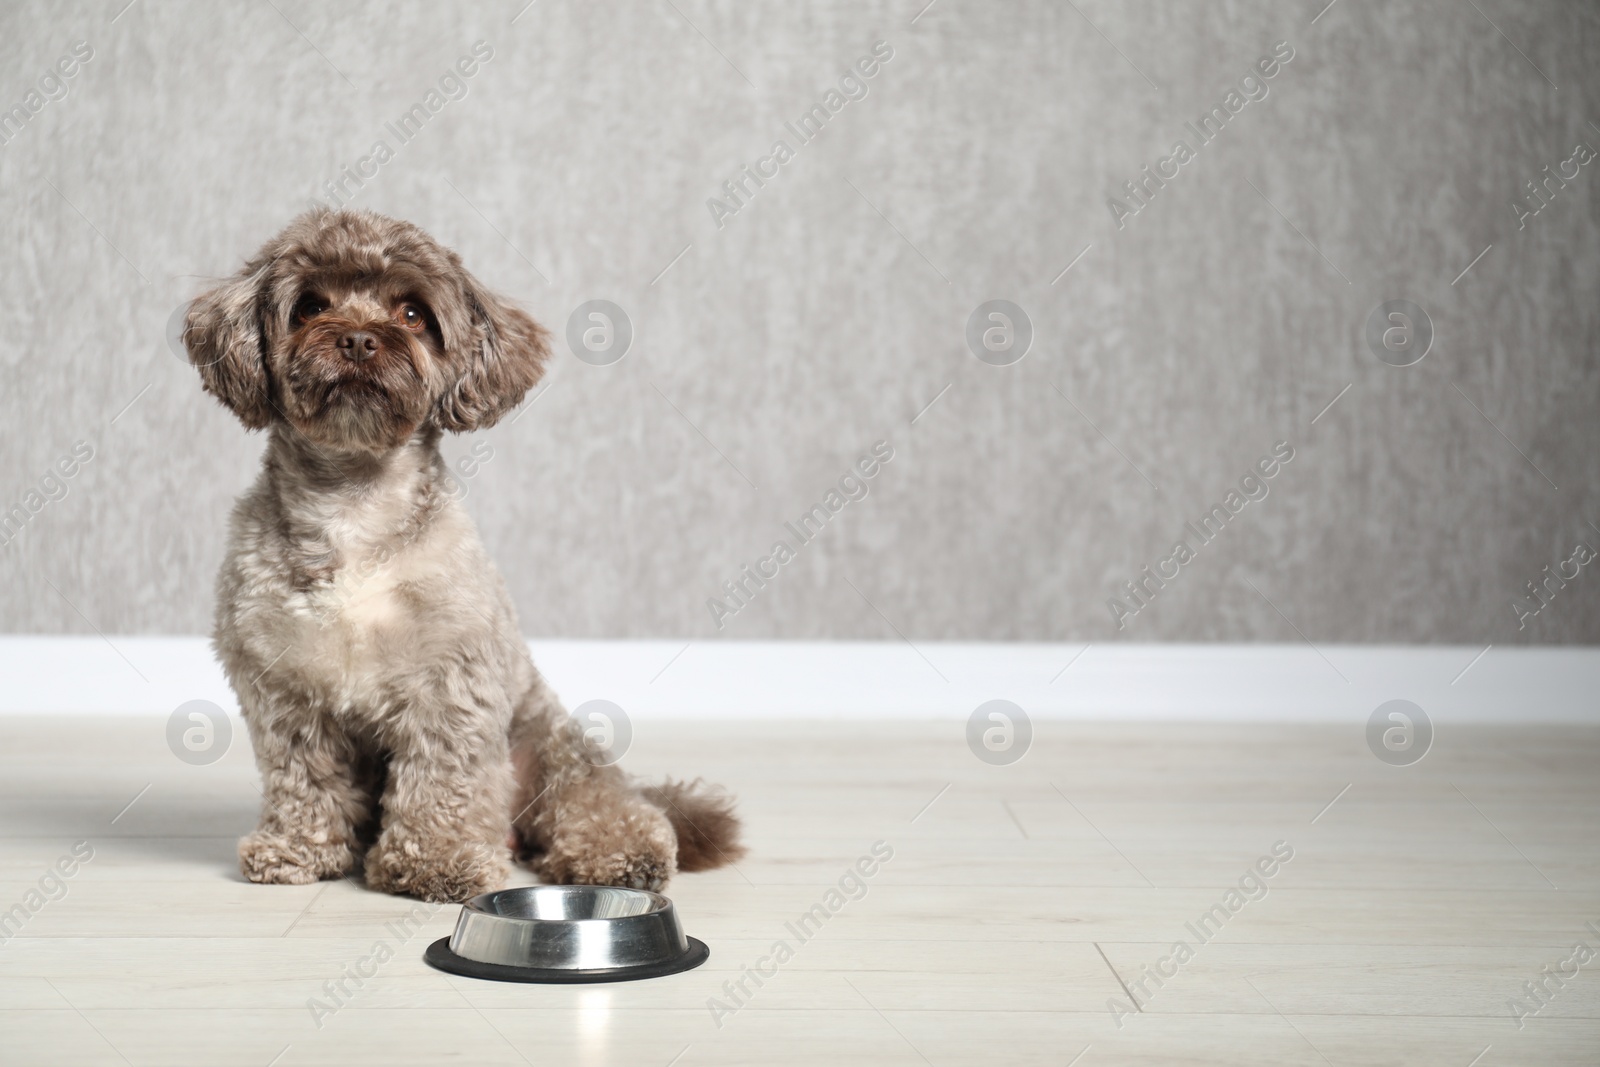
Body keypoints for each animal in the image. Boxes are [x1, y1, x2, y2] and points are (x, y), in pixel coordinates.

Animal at [184, 206, 745, 902]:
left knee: (603, 803)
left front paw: (436, 859)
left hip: (552, 749)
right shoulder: (285, 689)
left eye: (412, 313)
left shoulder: (450, 683)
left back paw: (616, 852)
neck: (354, 506)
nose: (359, 340)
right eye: (310, 306)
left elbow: (441, 781)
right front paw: (298, 848)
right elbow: (304, 779)